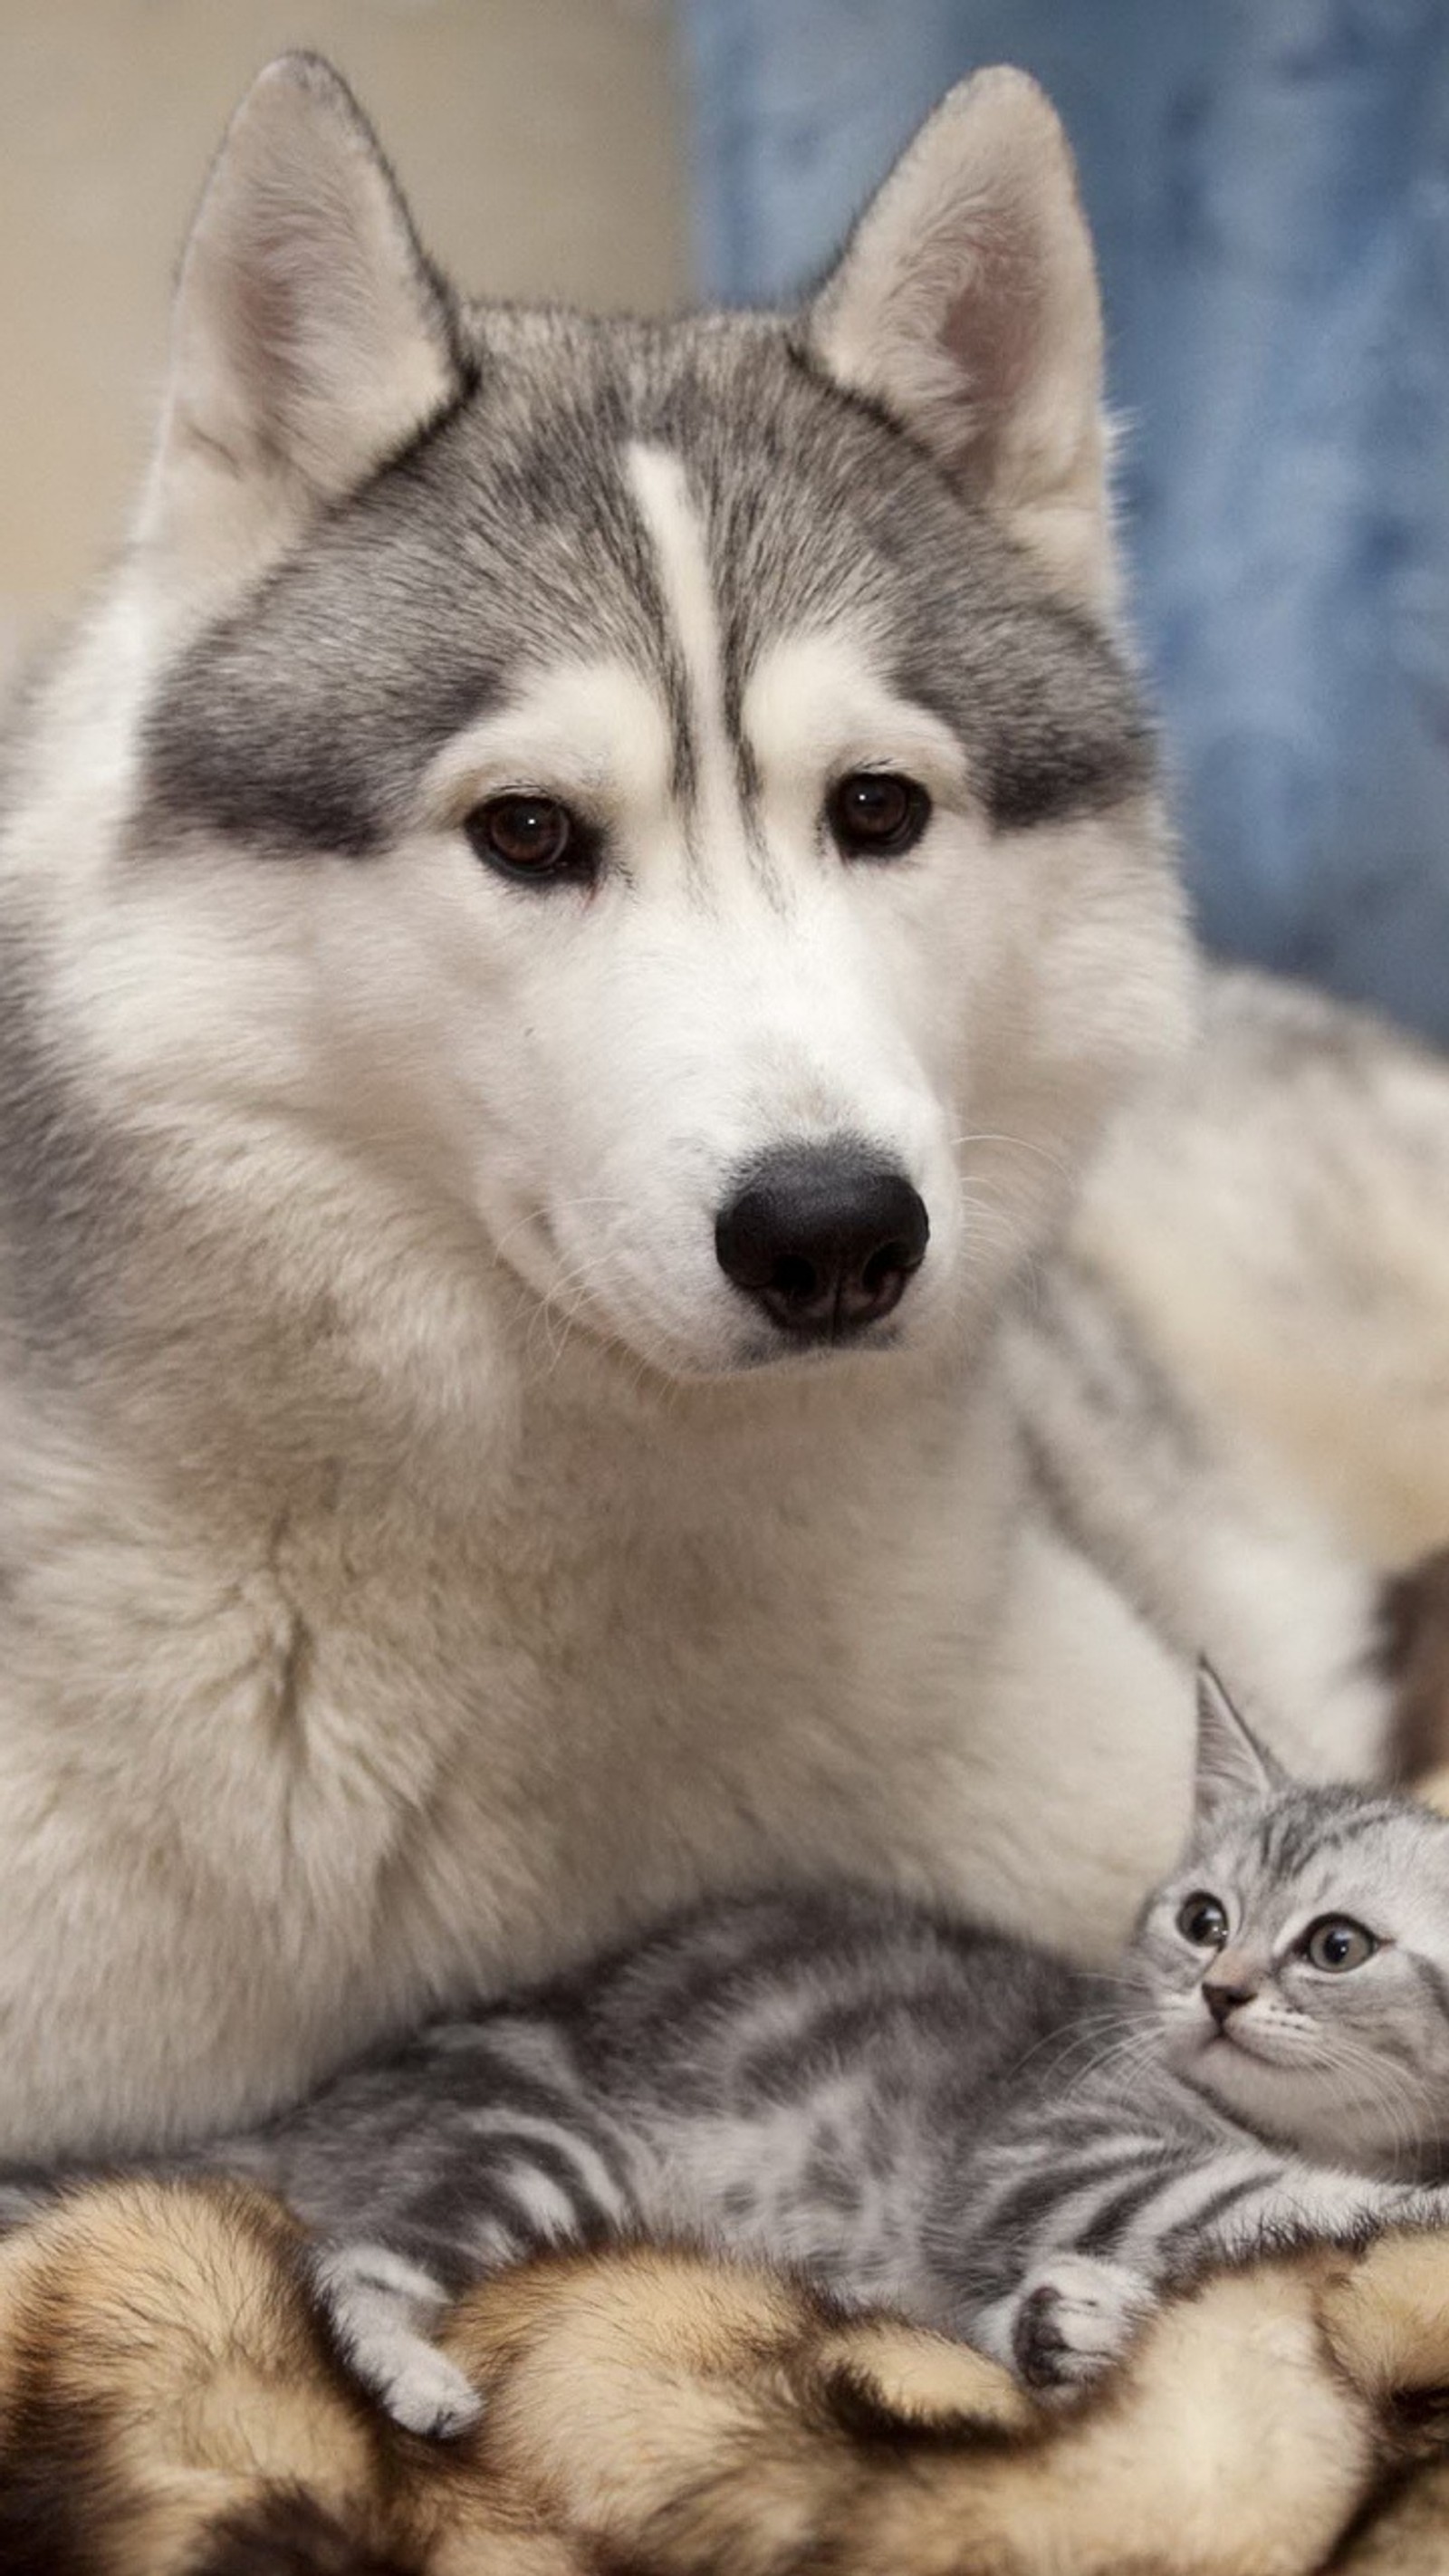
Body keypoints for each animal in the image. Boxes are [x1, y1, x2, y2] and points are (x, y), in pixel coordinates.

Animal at [16, 1668, 1449, 2431]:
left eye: (1333, 1946)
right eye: (1204, 1919)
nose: (1217, 1991)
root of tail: (327, 2103)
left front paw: (1076, 2327)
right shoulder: (1049, 2152)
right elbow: (1263, 2200)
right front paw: (1400, 2205)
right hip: (534, 2139)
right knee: (345, 2263)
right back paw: (410, 2374)